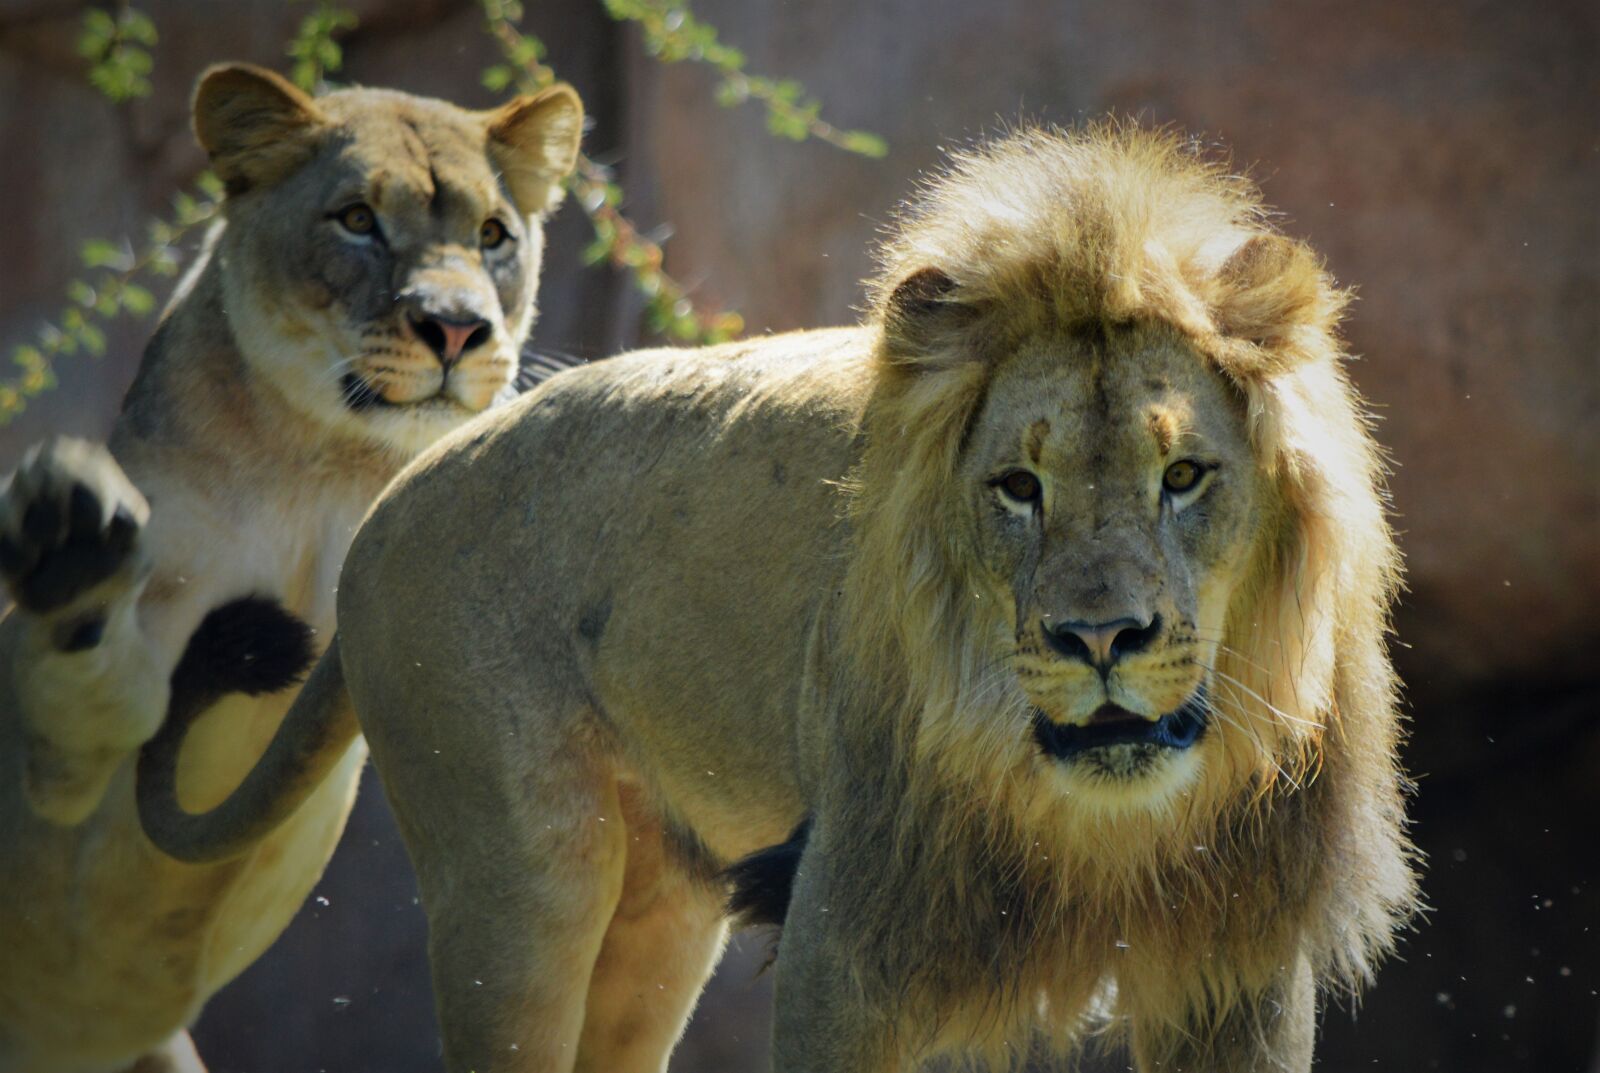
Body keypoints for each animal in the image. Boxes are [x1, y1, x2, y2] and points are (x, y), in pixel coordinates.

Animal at [0, 64, 582, 1073]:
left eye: (492, 235)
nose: (457, 329)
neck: (320, 463)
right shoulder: (50, 791)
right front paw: (71, 547)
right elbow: (87, 697)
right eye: (356, 219)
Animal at [138, 124, 1418, 1072]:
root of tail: (395, 491)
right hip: (520, 878)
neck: (1097, 818)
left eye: (1184, 475)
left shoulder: (1242, 960)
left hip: (663, 907)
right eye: (1018, 487)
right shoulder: (851, 949)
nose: (1099, 636)